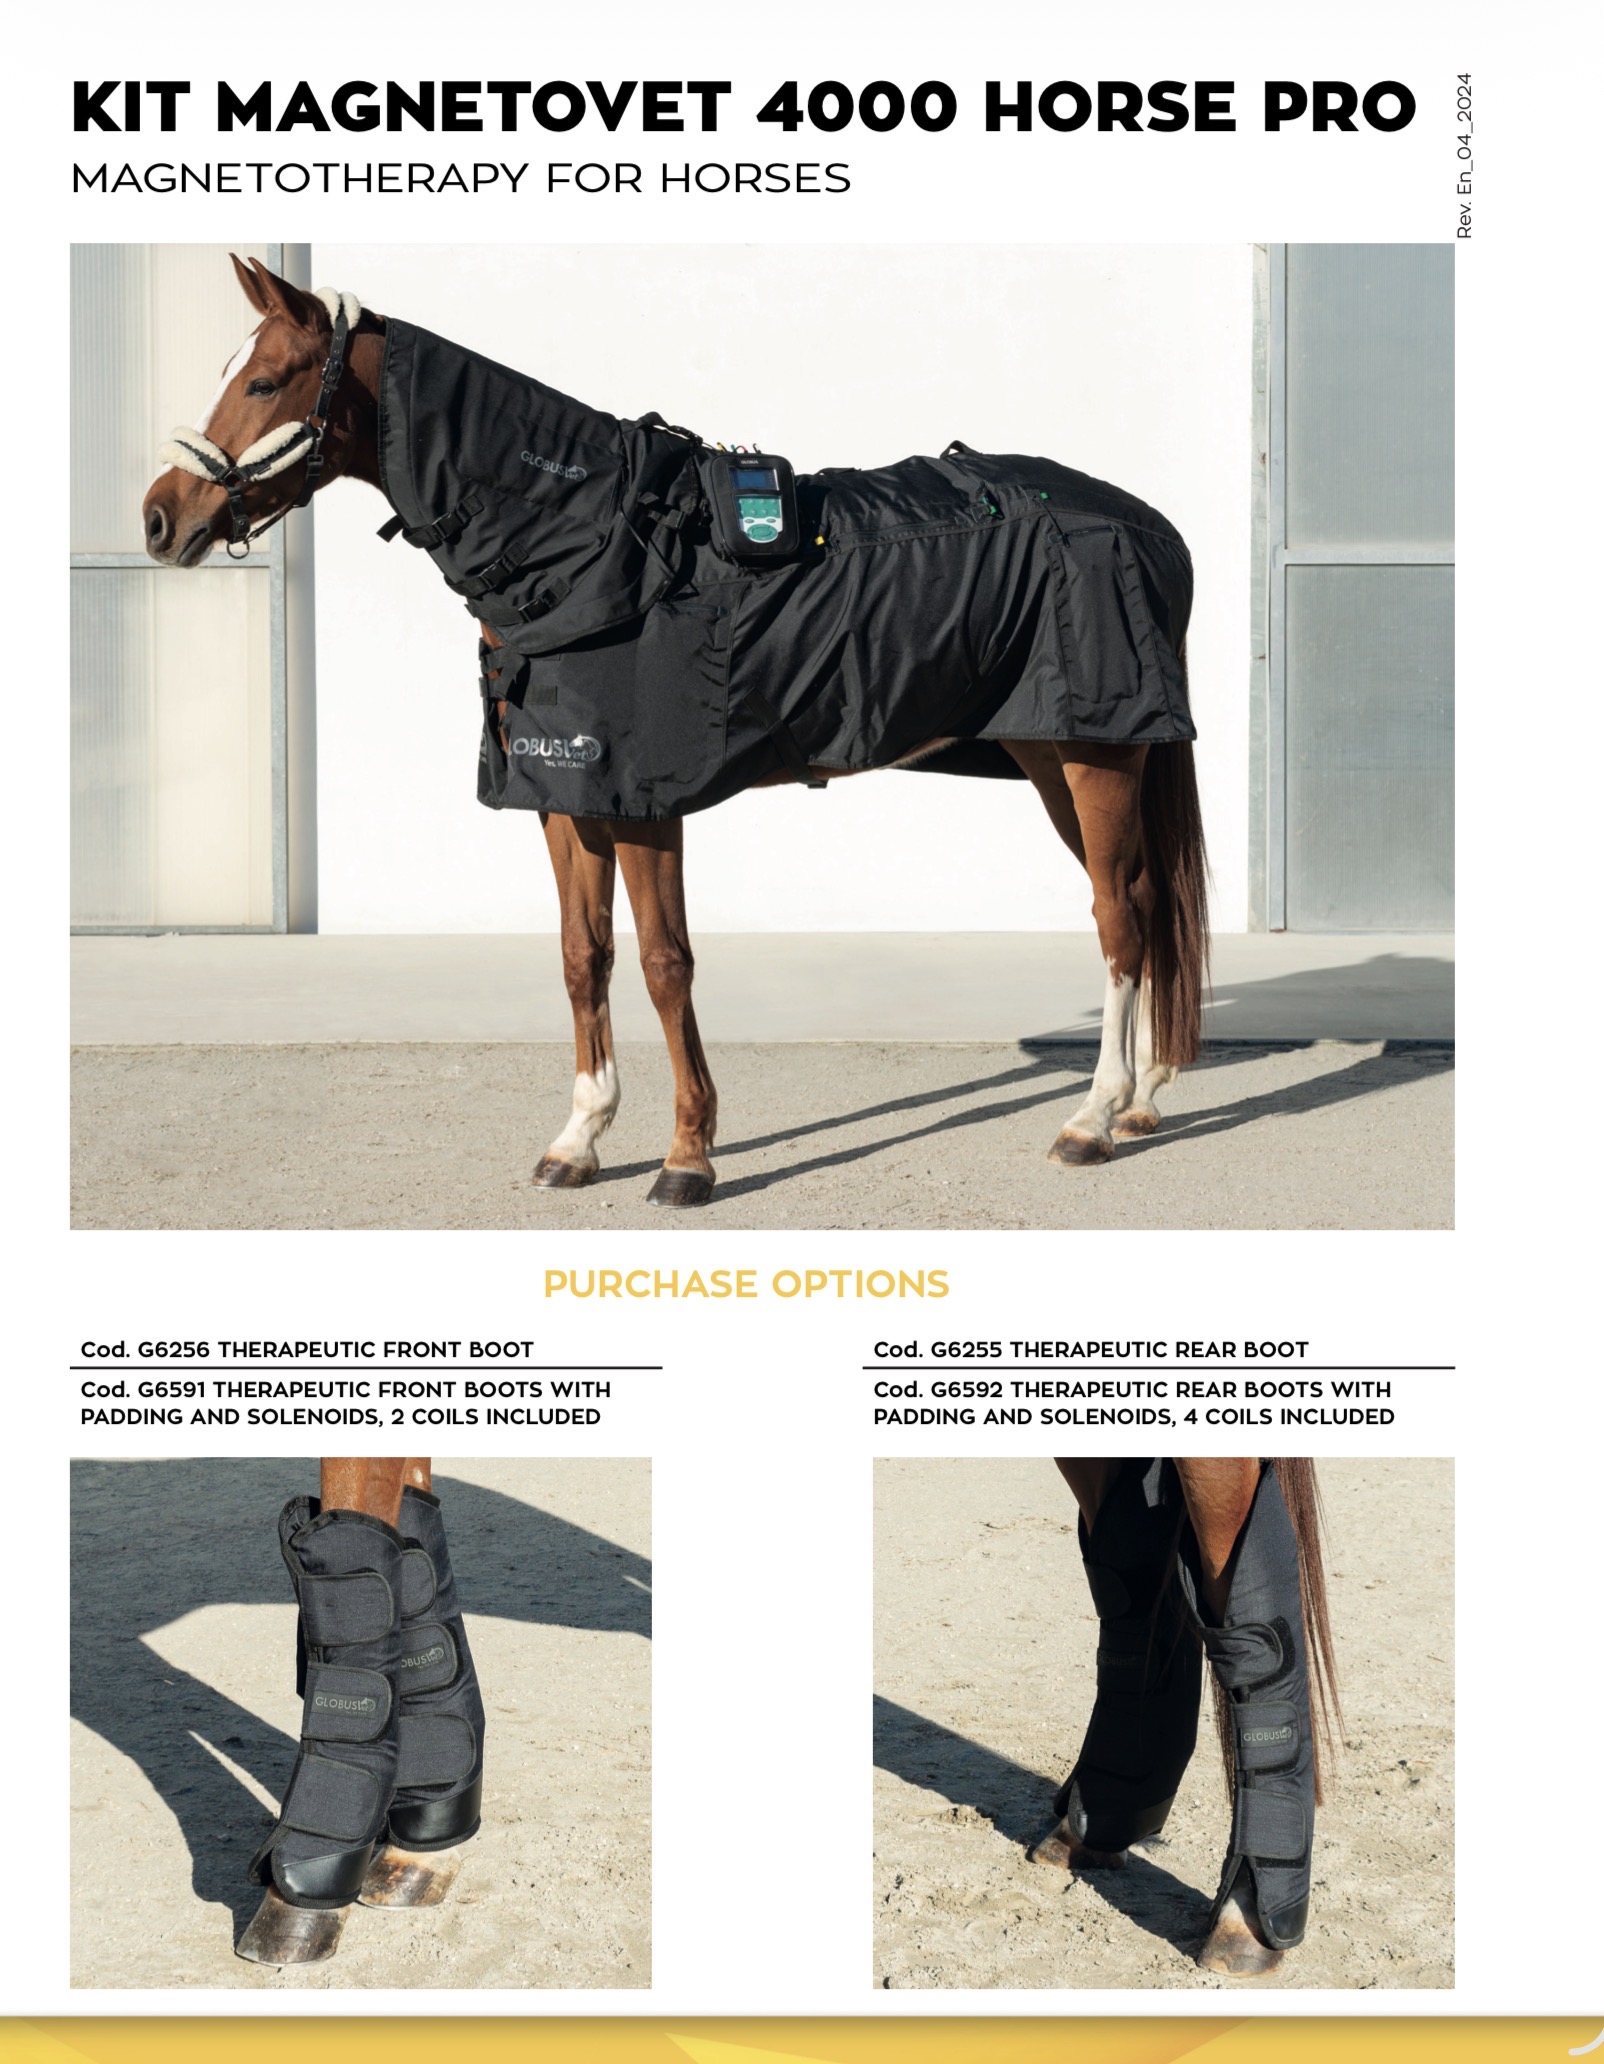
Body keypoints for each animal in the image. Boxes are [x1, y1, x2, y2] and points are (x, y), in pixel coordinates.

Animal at [140, 257, 1209, 1207]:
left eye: (263, 381)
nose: (159, 518)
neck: (594, 545)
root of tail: (1149, 524)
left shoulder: (644, 803)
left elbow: (664, 965)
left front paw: (688, 1157)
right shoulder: (564, 795)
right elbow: (583, 958)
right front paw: (577, 1140)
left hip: (1096, 754)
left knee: (1119, 918)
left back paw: (1091, 1120)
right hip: (1051, 755)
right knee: (1146, 902)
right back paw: (1144, 1100)